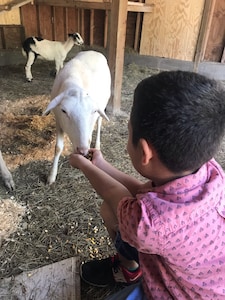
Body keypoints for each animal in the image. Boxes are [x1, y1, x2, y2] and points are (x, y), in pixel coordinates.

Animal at [42, 50, 110, 184]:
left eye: (94, 111)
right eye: (64, 111)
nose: (82, 151)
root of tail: (94, 51)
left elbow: (89, 137)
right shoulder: (59, 121)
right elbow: (58, 148)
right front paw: (51, 176)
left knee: (99, 123)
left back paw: (97, 145)